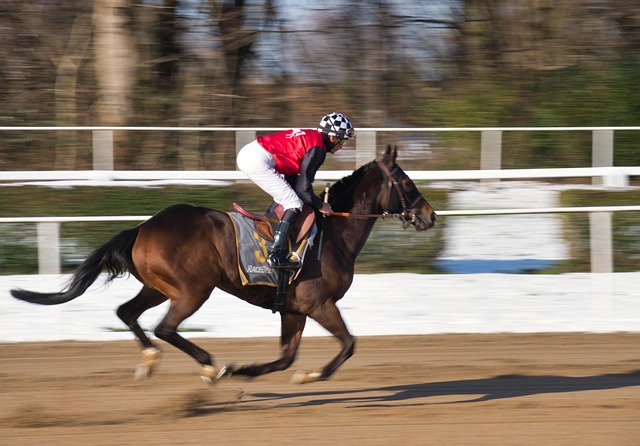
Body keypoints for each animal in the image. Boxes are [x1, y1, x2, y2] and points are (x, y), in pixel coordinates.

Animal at [11, 144, 436, 384]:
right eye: (406, 182)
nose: (429, 215)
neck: (335, 233)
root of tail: (143, 226)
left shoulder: (294, 308)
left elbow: (286, 358)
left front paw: (247, 370)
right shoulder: (319, 304)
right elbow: (348, 344)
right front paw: (313, 374)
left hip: (157, 285)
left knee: (127, 312)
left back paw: (151, 360)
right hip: (193, 289)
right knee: (165, 327)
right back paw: (208, 366)